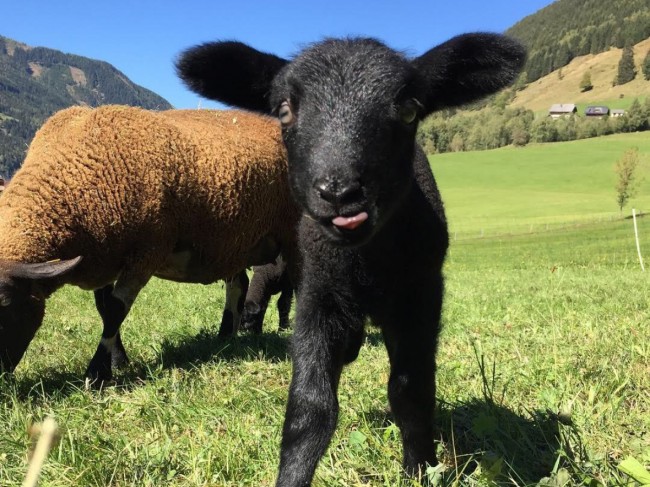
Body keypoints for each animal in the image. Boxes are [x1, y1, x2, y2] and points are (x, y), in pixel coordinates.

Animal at [0, 105, 299, 381]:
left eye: (4, 303)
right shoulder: (105, 256)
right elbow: (104, 309)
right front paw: (118, 361)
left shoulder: (146, 253)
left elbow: (115, 311)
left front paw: (98, 372)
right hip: (231, 243)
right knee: (239, 285)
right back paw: (224, 338)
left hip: (291, 234)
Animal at [177, 32, 525, 485]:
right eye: (284, 110)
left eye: (409, 109)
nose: (340, 192)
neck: (365, 262)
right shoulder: (317, 293)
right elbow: (310, 407)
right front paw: (292, 475)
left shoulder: (420, 295)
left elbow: (411, 390)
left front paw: (419, 468)